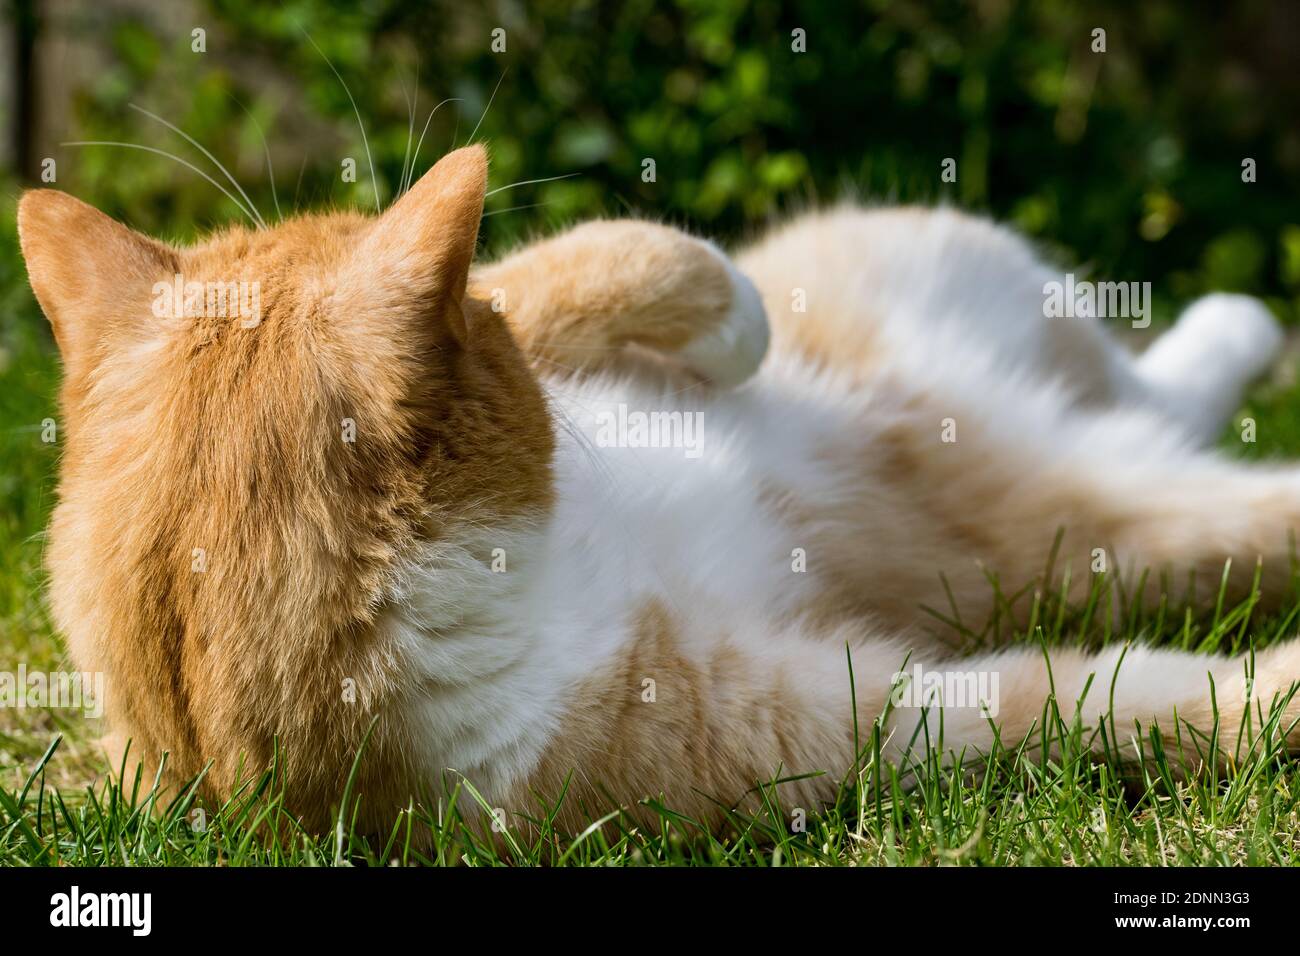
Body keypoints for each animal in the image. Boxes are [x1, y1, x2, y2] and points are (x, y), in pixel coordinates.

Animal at [17, 143, 1300, 837]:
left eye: (482, 321)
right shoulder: (815, 722)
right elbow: (1091, 703)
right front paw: (1265, 696)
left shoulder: (539, 291)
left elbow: (621, 253)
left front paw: (738, 329)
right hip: (1090, 509)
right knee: (1190, 466)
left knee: (1152, 372)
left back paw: (1241, 323)